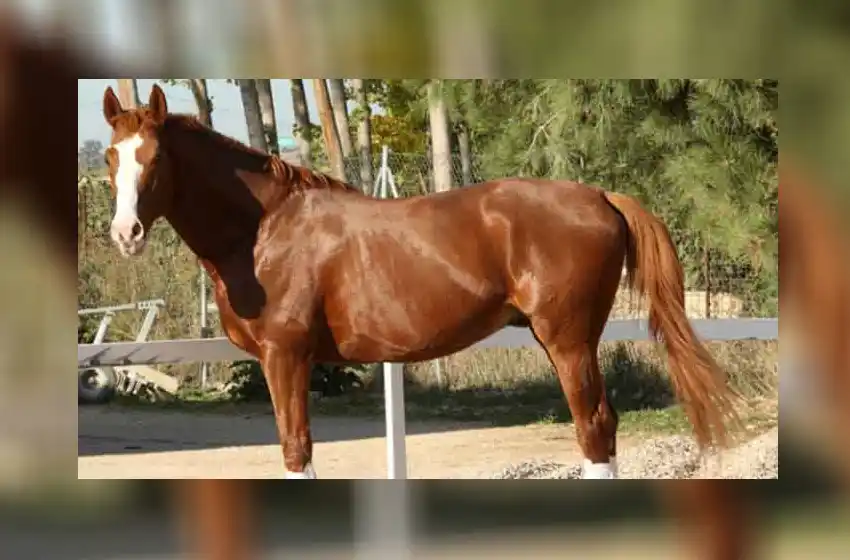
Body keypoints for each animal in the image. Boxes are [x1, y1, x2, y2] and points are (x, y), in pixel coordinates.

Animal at [100, 83, 738, 480]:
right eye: (110, 158)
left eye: (155, 159)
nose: (125, 233)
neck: (264, 229)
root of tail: (601, 194)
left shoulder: (286, 357)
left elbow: (296, 450)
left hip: (569, 341)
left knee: (596, 428)